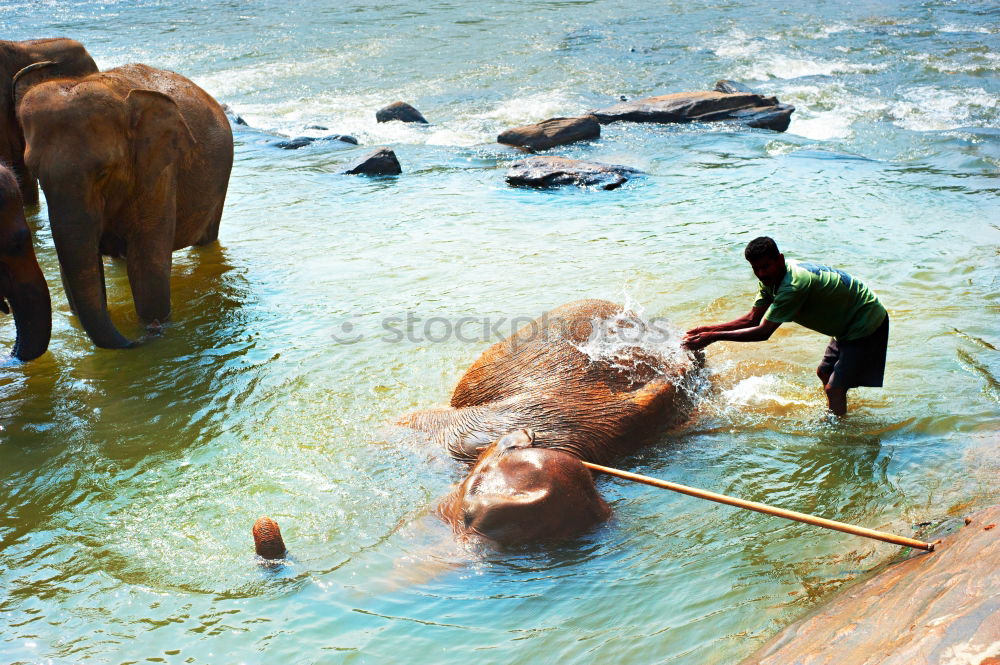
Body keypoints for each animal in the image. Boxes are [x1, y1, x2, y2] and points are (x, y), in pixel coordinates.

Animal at [17, 63, 232, 348]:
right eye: (35, 173)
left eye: (103, 172)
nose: (144, 336)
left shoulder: (159, 171)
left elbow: (147, 262)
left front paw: (156, 324)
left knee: (206, 239)